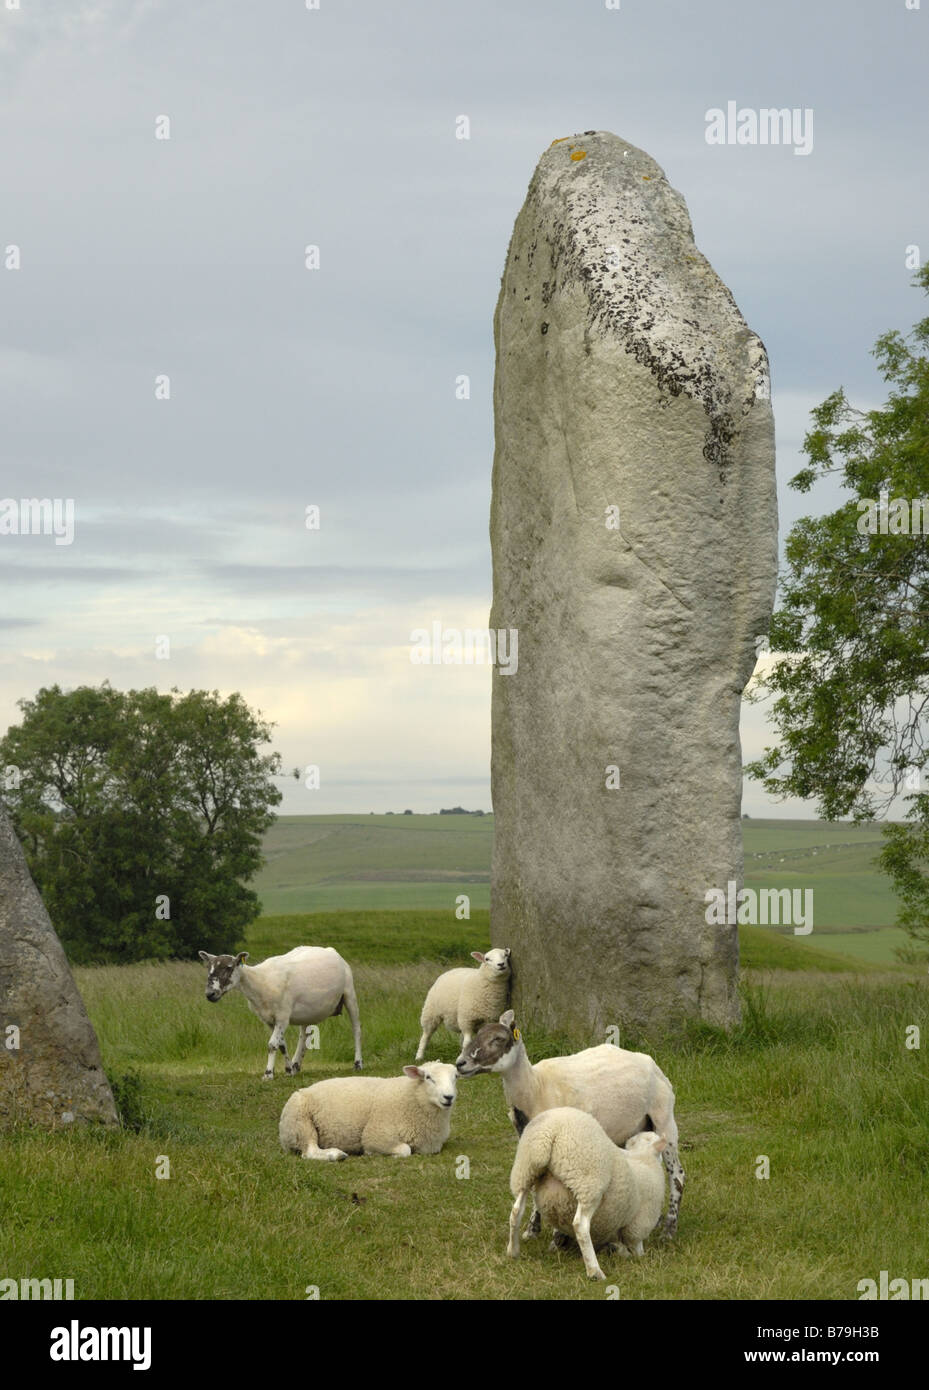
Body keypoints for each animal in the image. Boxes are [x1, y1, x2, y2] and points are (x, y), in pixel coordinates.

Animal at [197, 939, 361, 1078]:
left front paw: (268, 1073)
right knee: (304, 1036)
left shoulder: (283, 1017)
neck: (260, 982)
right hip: (309, 1010)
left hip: (349, 993)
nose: (210, 994)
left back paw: (358, 1064)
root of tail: (330, 949)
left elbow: (272, 1045)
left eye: (229, 967)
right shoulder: (269, 1019)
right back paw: (296, 1065)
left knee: (356, 1029)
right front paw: (288, 1070)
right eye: (209, 968)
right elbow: (281, 1045)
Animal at [279, 1061, 461, 1162]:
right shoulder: (376, 1136)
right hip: (300, 1123)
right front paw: (379, 1154)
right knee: (309, 1151)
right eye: (428, 1077)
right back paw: (336, 1155)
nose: (449, 1097)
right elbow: (405, 1150)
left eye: (455, 1077)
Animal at [456, 1011, 681, 1239]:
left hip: (664, 1118)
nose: (460, 1063)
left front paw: (556, 1234)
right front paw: (532, 1229)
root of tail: (651, 1063)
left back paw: (669, 1230)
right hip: (636, 1128)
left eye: (498, 1039)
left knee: (677, 1176)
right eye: (479, 1033)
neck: (535, 1088)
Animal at [509, 1106, 667, 1278]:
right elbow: (636, 1245)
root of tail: (550, 1133)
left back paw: (512, 1252)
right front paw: (637, 1257)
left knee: (516, 1211)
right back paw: (594, 1271)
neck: (642, 1156)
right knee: (580, 1225)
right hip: (589, 1183)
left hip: (525, 1170)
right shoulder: (641, 1220)